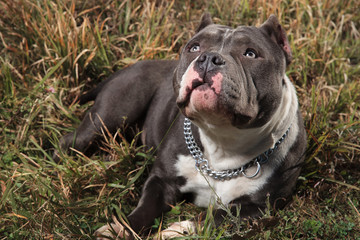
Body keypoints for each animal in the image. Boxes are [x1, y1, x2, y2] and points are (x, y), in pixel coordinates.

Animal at [55, 13, 306, 240]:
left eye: (251, 53)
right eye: (194, 47)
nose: (208, 58)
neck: (221, 142)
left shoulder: (259, 208)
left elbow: (213, 218)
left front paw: (174, 231)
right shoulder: (162, 181)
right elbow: (144, 208)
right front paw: (119, 228)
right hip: (110, 115)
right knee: (72, 141)